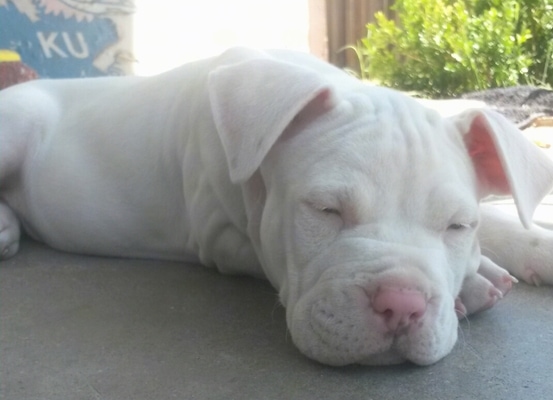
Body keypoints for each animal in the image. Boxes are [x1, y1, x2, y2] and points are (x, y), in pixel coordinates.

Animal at [1, 47, 552, 366]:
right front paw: (476, 283)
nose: (402, 304)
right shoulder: (221, 238)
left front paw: (517, 252)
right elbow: (264, 255)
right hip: (16, 126)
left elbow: (501, 220)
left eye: (457, 226)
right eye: (325, 210)